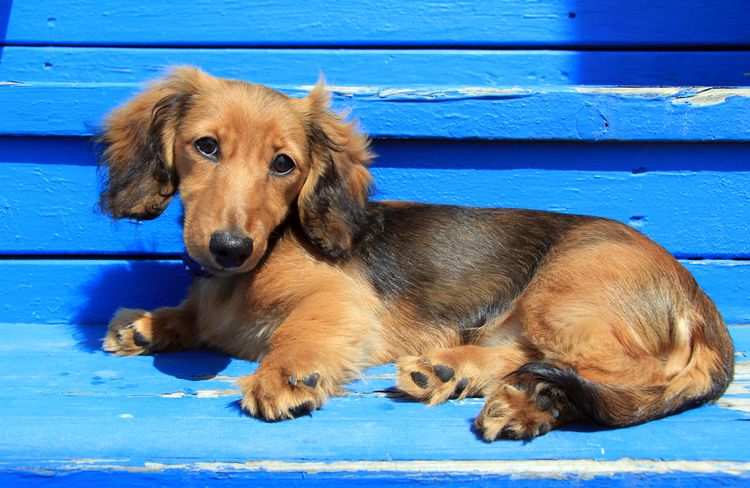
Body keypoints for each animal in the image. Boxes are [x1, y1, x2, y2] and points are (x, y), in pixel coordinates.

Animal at [98, 66, 736, 440]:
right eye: (205, 147)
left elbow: (298, 330)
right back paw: (454, 374)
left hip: (563, 294)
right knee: (531, 358)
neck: (241, 275)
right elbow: (191, 315)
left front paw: (284, 374)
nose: (230, 247)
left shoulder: (342, 299)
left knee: (629, 375)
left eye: (284, 164)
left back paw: (527, 401)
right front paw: (148, 323)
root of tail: (697, 299)